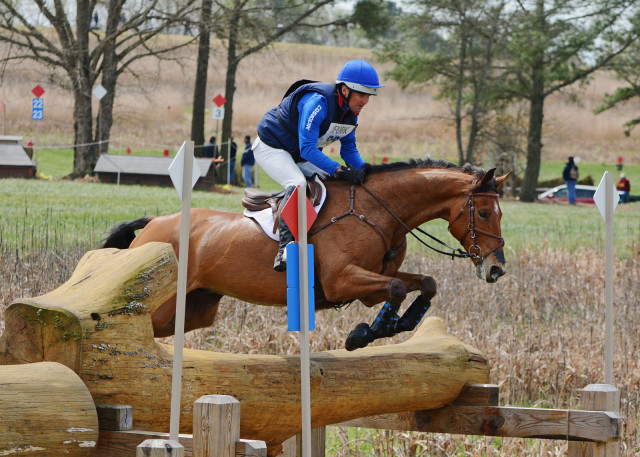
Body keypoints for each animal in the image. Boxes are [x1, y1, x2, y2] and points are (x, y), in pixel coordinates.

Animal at [102, 159, 508, 350]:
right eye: (484, 213)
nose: (496, 270)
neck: (377, 211)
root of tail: (154, 223)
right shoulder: (342, 280)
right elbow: (394, 288)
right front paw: (364, 334)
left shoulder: (368, 285)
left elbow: (424, 283)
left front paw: (396, 325)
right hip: (164, 304)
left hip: (193, 309)